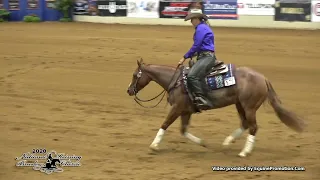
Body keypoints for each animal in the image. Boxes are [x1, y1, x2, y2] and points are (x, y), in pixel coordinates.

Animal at [126, 58, 306, 157]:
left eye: (135, 75)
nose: (129, 90)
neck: (176, 81)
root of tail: (263, 78)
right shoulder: (186, 111)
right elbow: (183, 130)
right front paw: (202, 142)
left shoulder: (177, 108)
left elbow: (164, 124)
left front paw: (154, 145)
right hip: (239, 104)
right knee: (245, 124)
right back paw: (228, 141)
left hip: (249, 107)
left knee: (253, 127)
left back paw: (244, 152)